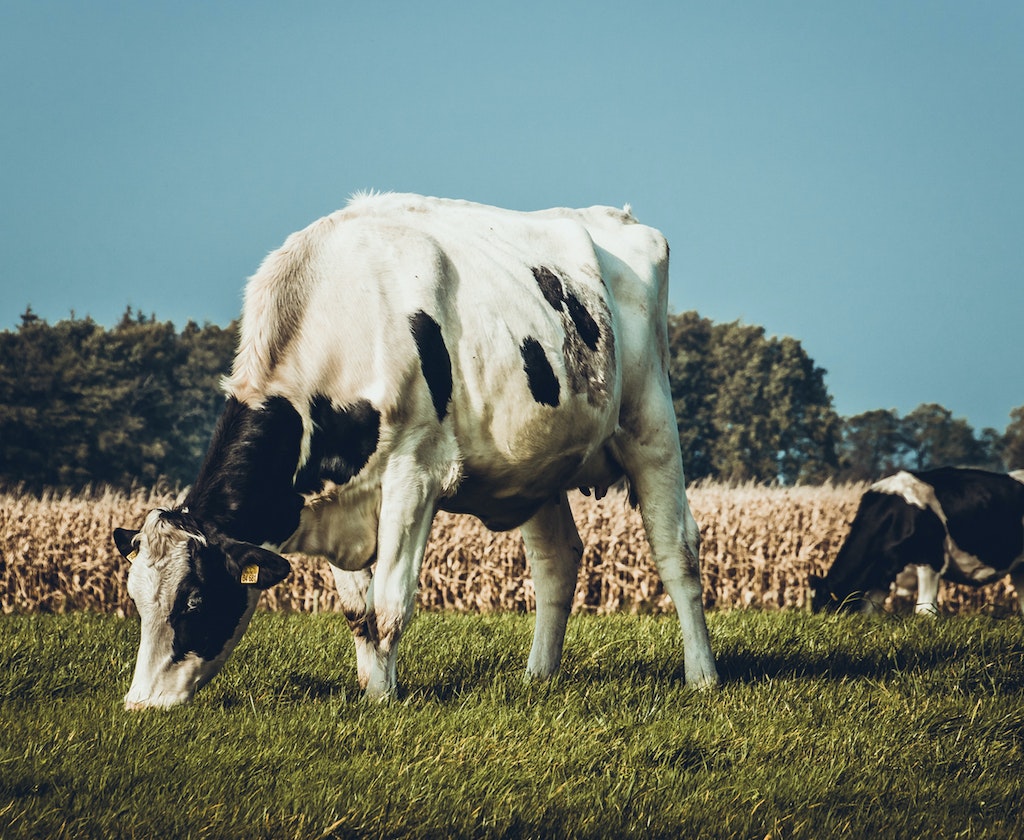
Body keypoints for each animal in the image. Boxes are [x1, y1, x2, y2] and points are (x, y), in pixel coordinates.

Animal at [110, 191, 720, 708]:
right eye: (136, 601)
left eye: (194, 601)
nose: (140, 705)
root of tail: (621, 217)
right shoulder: (334, 502)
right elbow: (357, 612)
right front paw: (371, 690)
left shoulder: (415, 476)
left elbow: (389, 606)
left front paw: (386, 704)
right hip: (539, 466)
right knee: (557, 563)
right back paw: (538, 677)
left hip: (652, 424)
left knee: (677, 552)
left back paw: (703, 677)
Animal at [806, 469, 1024, 614]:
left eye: (825, 608)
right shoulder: (883, 573)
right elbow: (870, 611)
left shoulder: (930, 560)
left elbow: (926, 610)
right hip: (1019, 570)